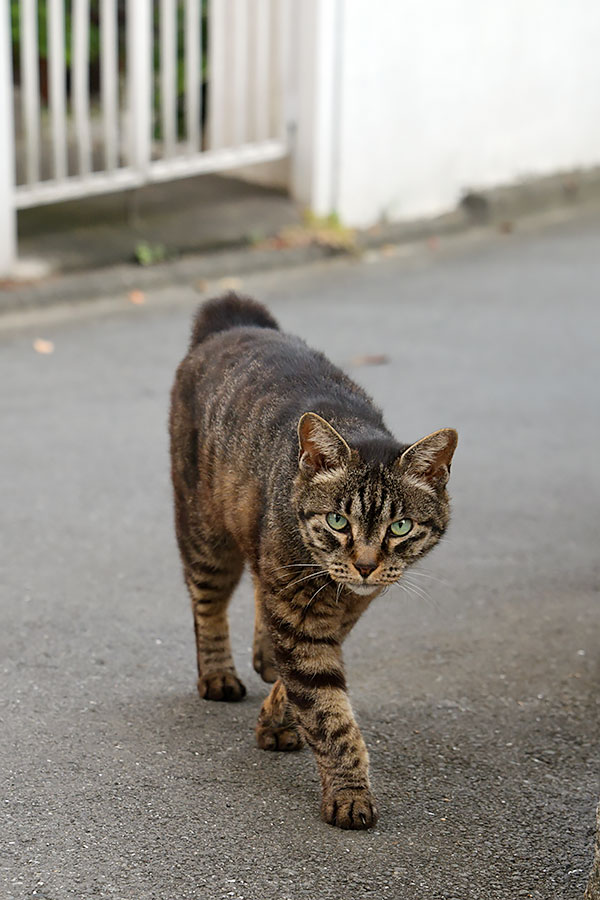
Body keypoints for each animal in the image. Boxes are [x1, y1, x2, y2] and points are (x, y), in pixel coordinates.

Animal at [166, 294, 458, 828]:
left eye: (400, 527)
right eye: (338, 521)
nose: (365, 565)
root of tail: (233, 322)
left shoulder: (338, 615)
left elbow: (303, 683)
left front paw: (276, 719)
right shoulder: (300, 618)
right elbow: (329, 713)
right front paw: (350, 794)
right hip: (205, 535)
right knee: (207, 606)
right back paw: (217, 673)